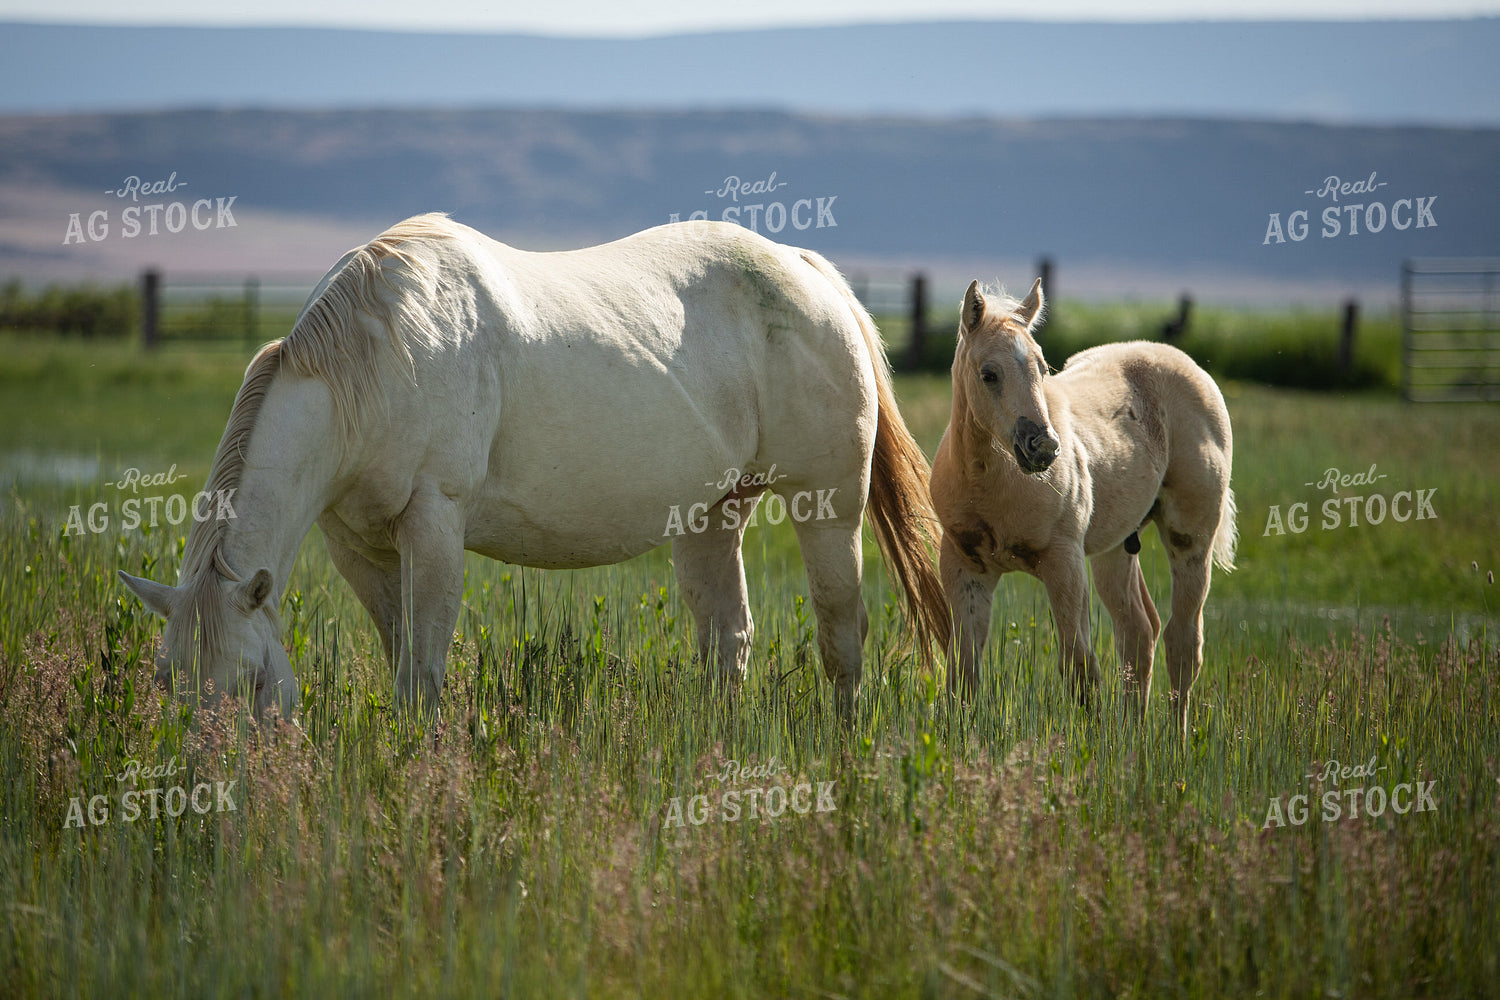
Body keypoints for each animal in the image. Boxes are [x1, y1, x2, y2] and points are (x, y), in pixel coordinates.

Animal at [118, 214, 949, 721]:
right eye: (168, 682)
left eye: (251, 682)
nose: (215, 797)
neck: (375, 360)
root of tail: (810, 273)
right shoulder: (356, 547)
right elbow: (399, 654)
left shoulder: (434, 525)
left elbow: (423, 670)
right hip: (713, 516)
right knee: (728, 638)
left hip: (827, 506)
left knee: (842, 632)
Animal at [929, 278, 1236, 734]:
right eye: (989, 374)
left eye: (1042, 368)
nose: (1042, 447)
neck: (990, 484)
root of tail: (1187, 365)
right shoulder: (965, 567)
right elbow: (963, 672)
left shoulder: (1064, 561)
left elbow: (1079, 665)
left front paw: (1088, 745)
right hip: (1115, 547)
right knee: (1139, 632)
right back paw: (1132, 738)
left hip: (1191, 538)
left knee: (1183, 642)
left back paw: (1173, 744)